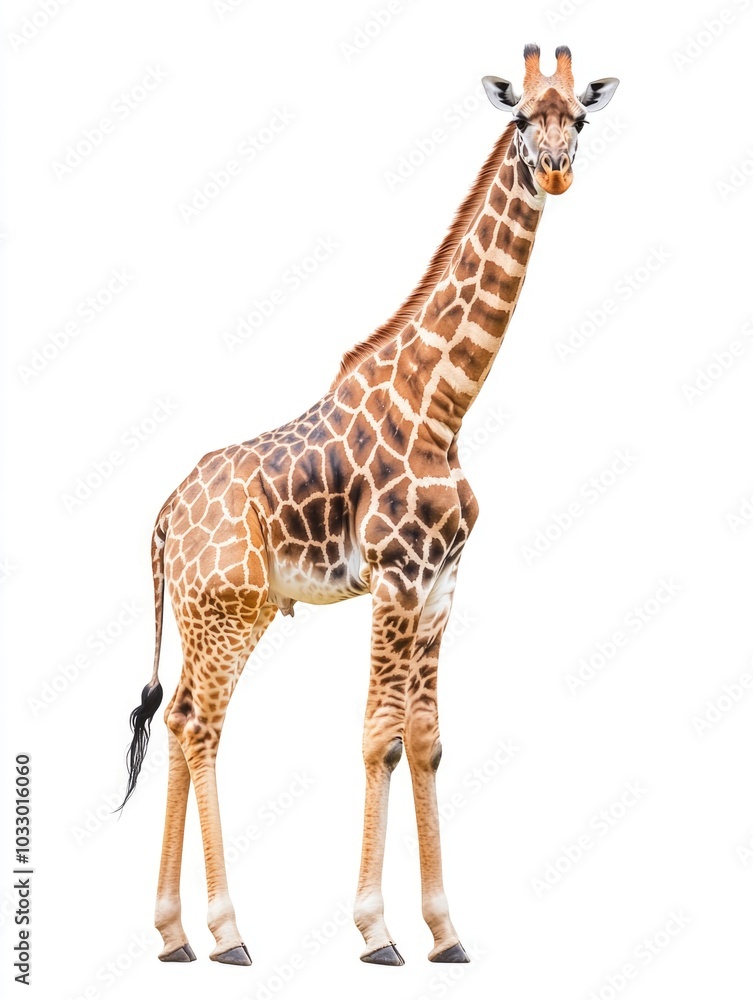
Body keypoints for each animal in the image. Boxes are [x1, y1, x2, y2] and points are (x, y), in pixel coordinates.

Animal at [118, 44, 618, 967]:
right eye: (520, 118)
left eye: (580, 117)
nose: (557, 171)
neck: (442, 405)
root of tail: (165, 516)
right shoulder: (394, 574)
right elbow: (375, 736)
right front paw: (375, 930)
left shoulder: (441, 581)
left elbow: (423, 739)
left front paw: (446, 933)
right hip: (228, 610)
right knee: (202, 723)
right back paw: (229, 934)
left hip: (217, 612)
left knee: (174, 717)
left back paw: (172, 936)